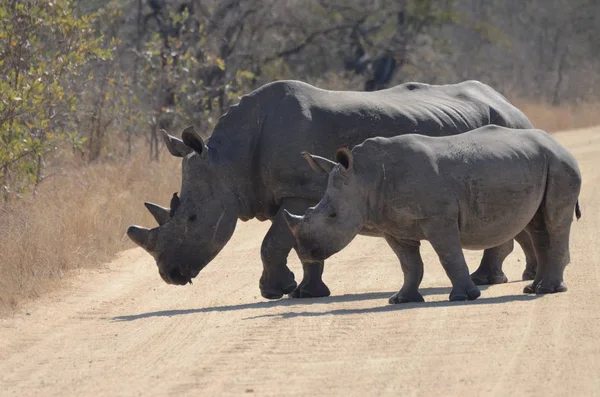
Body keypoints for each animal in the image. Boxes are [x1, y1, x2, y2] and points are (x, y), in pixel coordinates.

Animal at [125, 79, 536, 296]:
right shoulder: (300, 195)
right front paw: (307, 292)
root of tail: (507, 101)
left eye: (192, 218)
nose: (170, 275)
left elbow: (272, 243)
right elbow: (303, 242)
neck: (228, 161)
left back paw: (492, 280)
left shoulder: (299, 191)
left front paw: (276, 291)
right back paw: (515, 276)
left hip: (510, 127)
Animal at [284, 125, 580, 302]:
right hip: (538, 164)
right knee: (538, 225)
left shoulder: (438, 218)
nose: (305, 253)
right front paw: (401, 299)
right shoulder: (392, 225)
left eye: (332, 216)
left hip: (560, 164)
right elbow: (408, 263)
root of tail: (559, 144)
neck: (363, 177)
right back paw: (534, 288)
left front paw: (464, 297)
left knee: (555, 221)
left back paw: (548, 290)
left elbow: (449, 256)